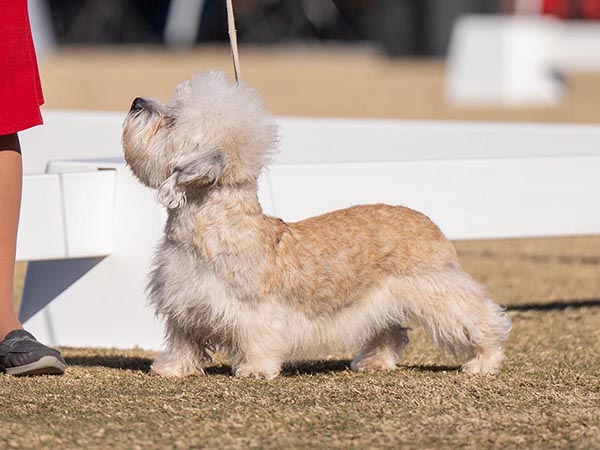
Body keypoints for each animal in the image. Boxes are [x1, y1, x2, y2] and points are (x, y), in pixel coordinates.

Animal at [122, 71, 510, 380]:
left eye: (171, 120)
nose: (136, 101)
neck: (211, 227)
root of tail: (426, 220)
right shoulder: (184, 304)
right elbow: (184, 341)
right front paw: (172, 368)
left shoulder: (254, 311)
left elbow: (258, 339)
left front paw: (255, 370)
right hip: (382, 302)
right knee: (392, 333)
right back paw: (374, 362)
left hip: (438, 292)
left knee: (483, 319)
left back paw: (484, 362)